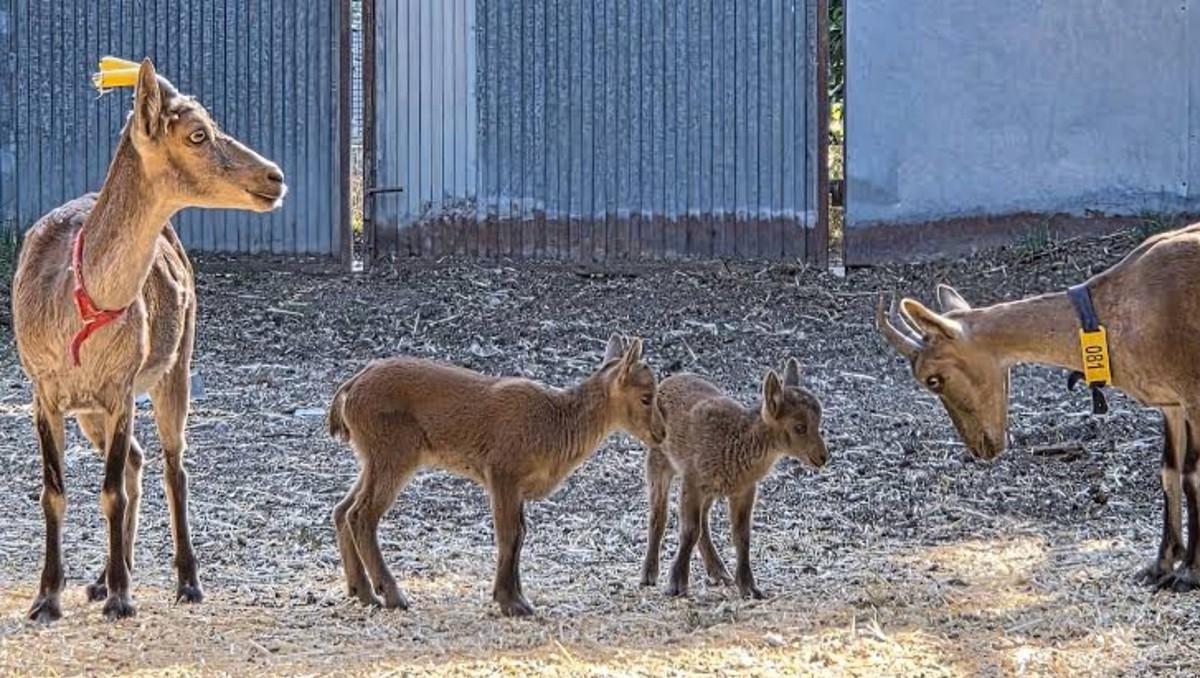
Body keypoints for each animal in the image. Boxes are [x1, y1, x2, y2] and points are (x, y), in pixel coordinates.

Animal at [11, 58, 286, 622]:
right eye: (197, 132)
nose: (275, 177)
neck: (78, 308)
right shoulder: (41, 388)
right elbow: (54, 491)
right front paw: (47, 598)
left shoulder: (121, 385)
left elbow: (110, 490)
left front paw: (121, 598)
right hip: (91, 410)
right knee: (137, 460)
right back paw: (101, 578)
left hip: (175, 367)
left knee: (172, 465)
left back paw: (184, 581)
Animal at [327, 334, 667, 617]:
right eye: (646, 397)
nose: (661, 433)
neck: (554, 425)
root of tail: (349, 389)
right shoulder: (502, 473)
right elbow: (508, 534)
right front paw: (511, 603)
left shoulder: (518, 488)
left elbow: (521, 534)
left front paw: (519, 597)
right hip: (395, 454)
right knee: (361, 515)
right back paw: (393, 595)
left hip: (373, 458)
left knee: (342, 509)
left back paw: (362, 592)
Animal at [641, 359, 829, 599]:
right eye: (800, 427)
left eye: (819, 421)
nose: (822, 457)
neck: (735, 441)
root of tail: (667, 381)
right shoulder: (692, 480)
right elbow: (689, 530)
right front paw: (676, 584)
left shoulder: (744, 489)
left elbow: (741, 535)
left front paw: (749, 587)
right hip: (658, 458)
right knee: (659, 513)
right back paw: (649, 574)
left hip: (711, 489)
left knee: (704, 520)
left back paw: (719, 572)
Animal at [878, 225, 1200, 592]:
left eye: (932, 380)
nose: (981, 448)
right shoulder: (1171, 403)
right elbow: (1169, 472)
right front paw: (1160, 567)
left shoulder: (1193, 391)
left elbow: (1192, 476)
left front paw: (1189, 573)